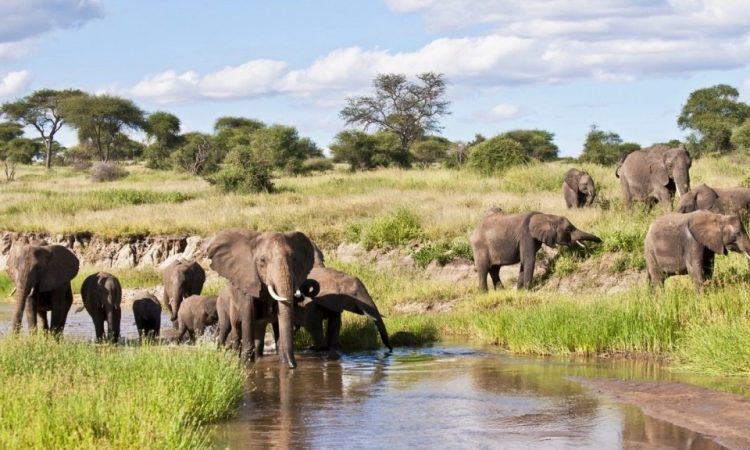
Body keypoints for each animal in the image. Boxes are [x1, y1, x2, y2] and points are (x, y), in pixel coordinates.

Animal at [207, 229, 319, 367]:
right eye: (262, 261)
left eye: (294, 259)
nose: (293, 366)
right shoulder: (247, 281)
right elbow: (248, 315)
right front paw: (245, 363)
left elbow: (279, 318)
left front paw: (283, 363)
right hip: (222, 305)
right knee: (227, 328)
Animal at [470, 211, 602, 291]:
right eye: (568, 229)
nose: (601, 241)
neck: (546, 216)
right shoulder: (526, 236)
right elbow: (528, 260)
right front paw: (529, 290)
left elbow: (524, 262)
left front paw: (520, 291)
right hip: (480, 247)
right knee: (483, 270)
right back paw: (484, 294)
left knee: (494, 270)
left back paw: (501, 292)